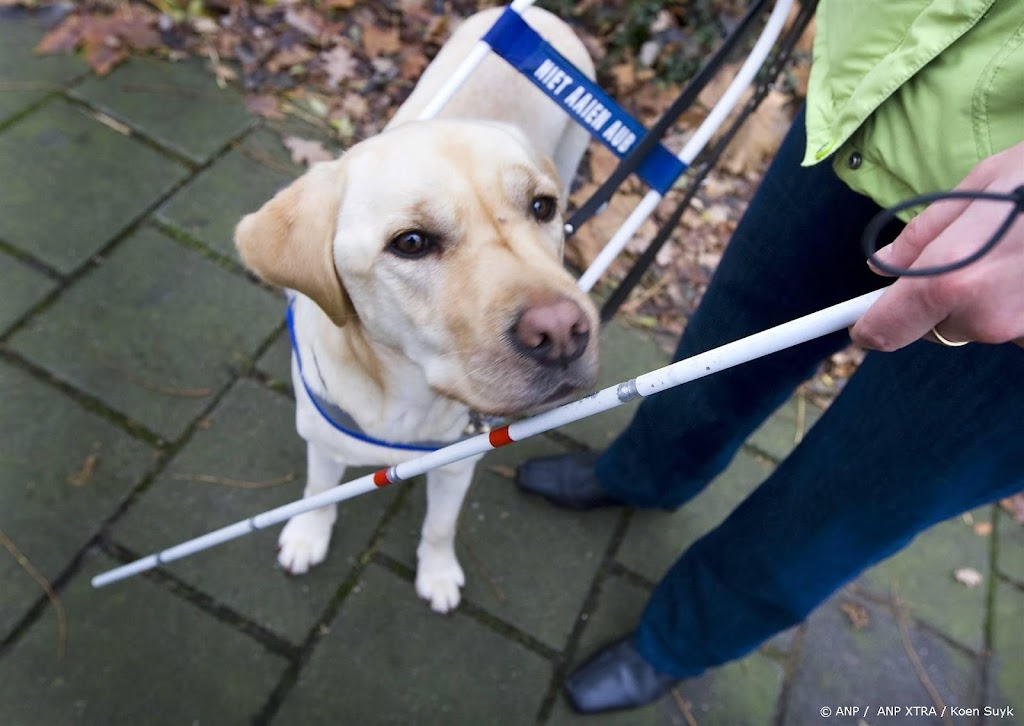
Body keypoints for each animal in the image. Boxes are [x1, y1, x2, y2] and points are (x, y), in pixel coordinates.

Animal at [234, 8, 598, 614]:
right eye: (410, 242)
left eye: (541, 208)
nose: (564, 332)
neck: (409, 398)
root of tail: (541, 14)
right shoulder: (322, 440)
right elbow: (317, 491)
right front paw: (308, 536)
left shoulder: (460, 461)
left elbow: (440, 525)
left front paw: (438, 571)